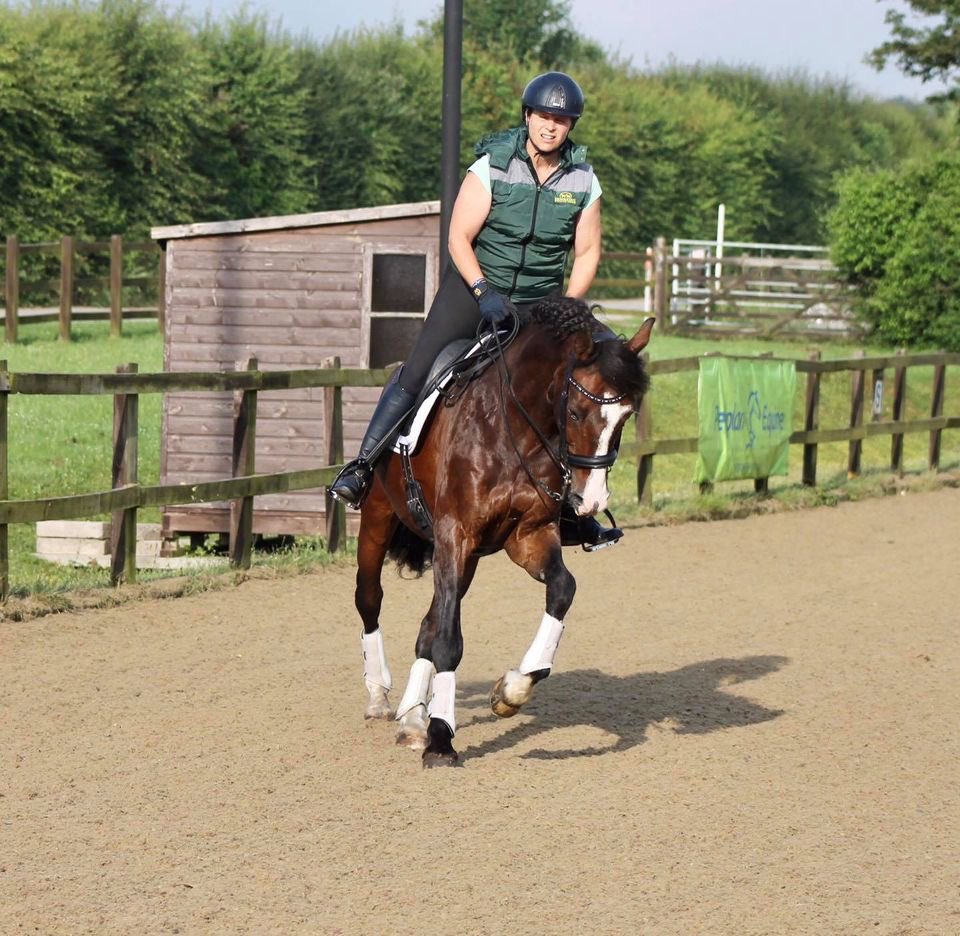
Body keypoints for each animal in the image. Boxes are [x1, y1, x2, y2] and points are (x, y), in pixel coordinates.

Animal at [354, 297, 654, 767]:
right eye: (575, 412)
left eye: (626, 417)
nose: (591, 501)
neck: (517, 426)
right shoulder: (455, 534)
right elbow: (449, 641)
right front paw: (442, 738)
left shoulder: (527, 535)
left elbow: (562, 590)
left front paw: (512, 690)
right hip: (380, 518)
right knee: (370, 598)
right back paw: (381, 696)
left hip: (467, 557)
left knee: (429, 623)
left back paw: (413, 718)